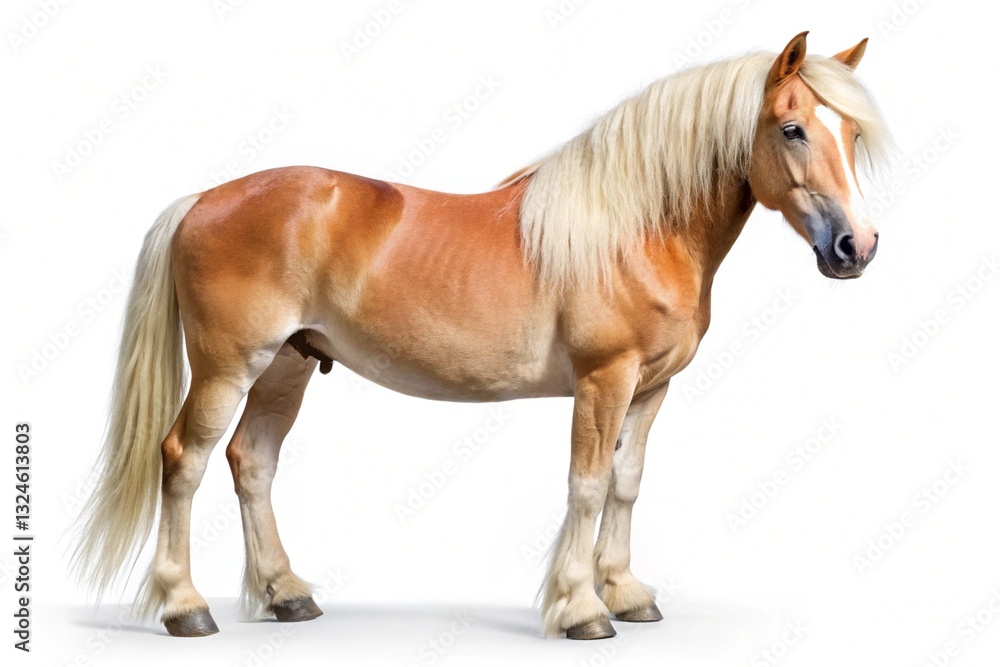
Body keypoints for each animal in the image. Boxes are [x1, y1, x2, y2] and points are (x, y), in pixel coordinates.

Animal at [73, 32, 891, 640]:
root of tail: (201, 199)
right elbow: (588, 484)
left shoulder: (651, 387)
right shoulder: (605, 379)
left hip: (287, 365)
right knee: (183, 460)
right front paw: (583, 608)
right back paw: (186, 608)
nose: (857, 247)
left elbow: (626, 484)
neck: (635, 229)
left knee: (252, 463)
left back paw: (287, 595)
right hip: (228, 366)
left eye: (850, 131)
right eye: (792, 128)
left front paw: (627, 593)